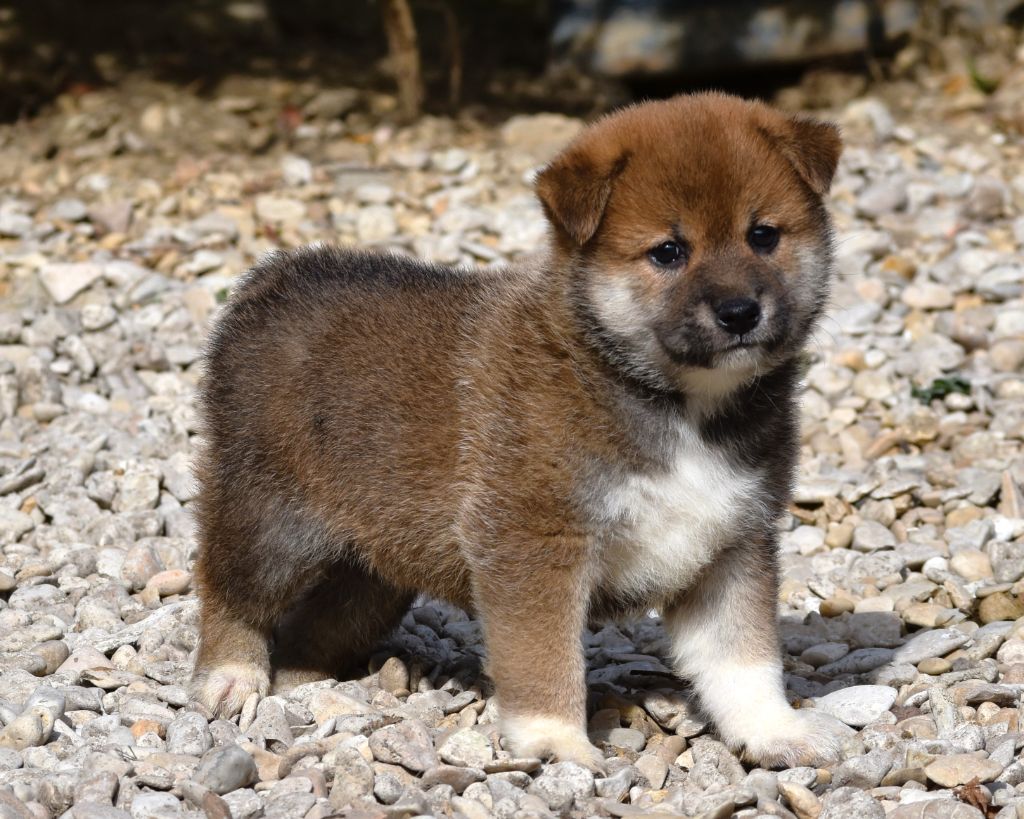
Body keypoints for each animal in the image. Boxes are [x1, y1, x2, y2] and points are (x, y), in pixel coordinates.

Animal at [190, 92, 848, 770]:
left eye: (763, 236)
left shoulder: (732, 543)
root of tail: (269, 282)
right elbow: (543, 658)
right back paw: (231, 676)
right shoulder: (534, 542)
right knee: (227, 589)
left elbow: (744, 660)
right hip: (273, 521)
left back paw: (304, 684)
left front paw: (774, 730)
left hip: (374, 564)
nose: (740, 312)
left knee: (318, 626)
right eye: (668, 252)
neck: (670, 401)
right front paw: (555, 740)